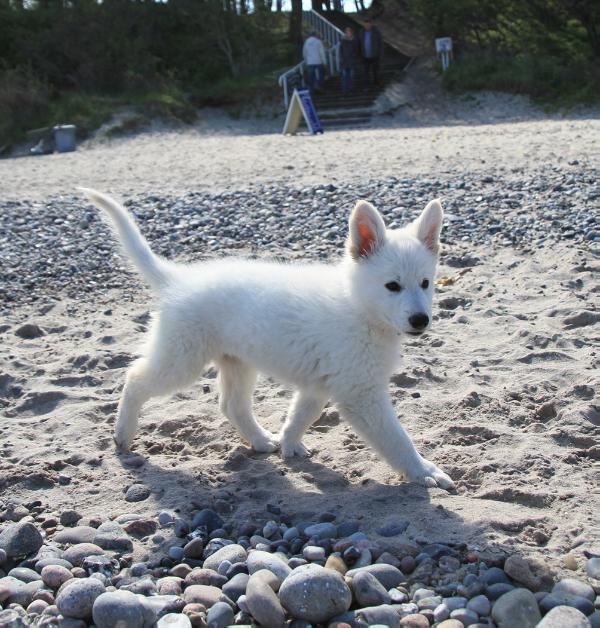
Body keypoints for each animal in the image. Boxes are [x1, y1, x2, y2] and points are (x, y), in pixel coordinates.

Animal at [81, 186, 454, 490]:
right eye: (392, 286)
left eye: (425, 283)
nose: (420, 320)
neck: (359, 307)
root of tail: (178, 280)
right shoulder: (360, 392)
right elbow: (396, 439)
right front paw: (424, 472)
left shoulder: (320, 383)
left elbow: (301, 415)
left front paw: (289, 445)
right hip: (181, 359)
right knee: (135, 378)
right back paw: (123, 434)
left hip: (237, 361)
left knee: (231, 405)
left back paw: (261, 441)